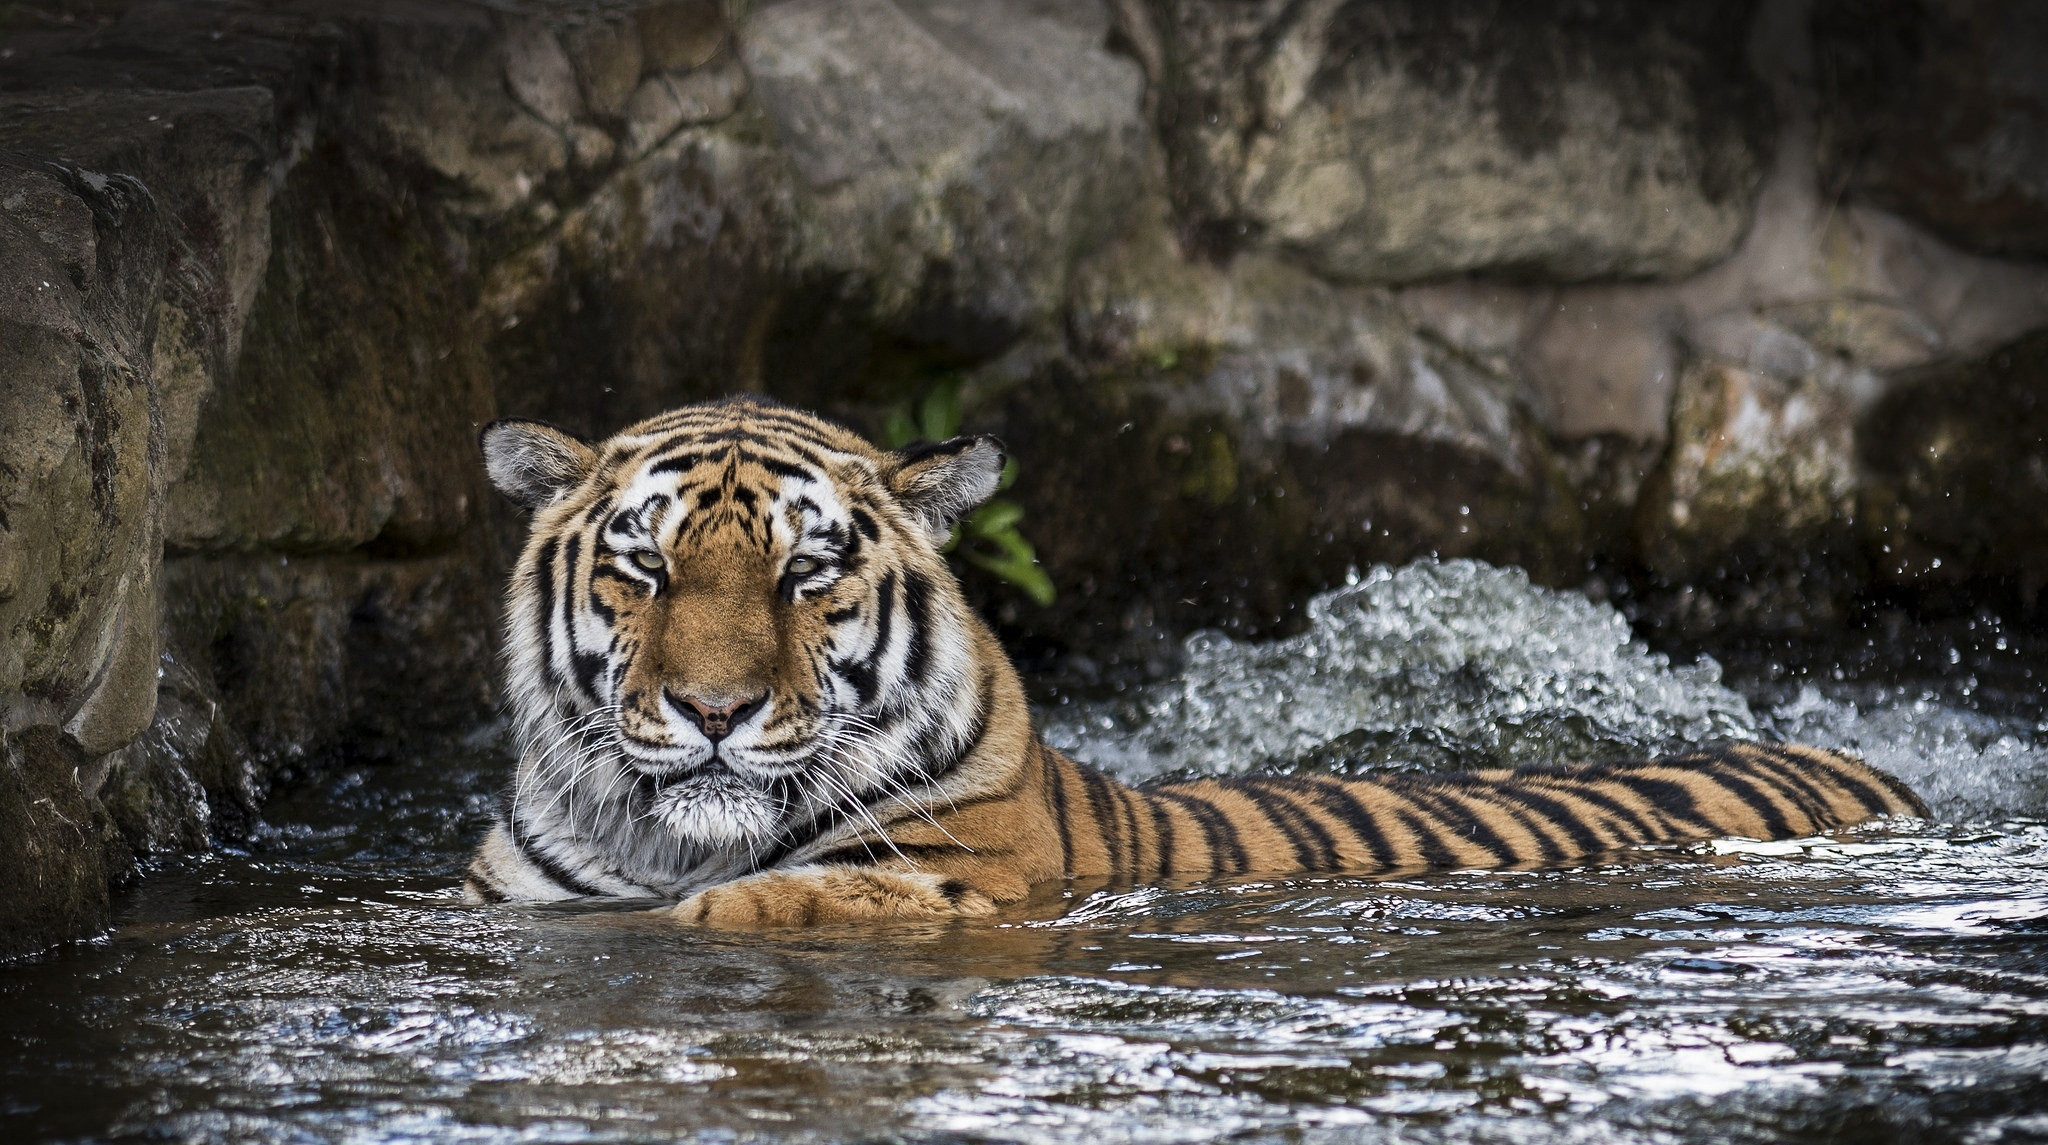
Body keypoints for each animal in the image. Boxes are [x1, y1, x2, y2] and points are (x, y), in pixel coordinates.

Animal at [468, 399, 1933, 925]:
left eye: (804, 574)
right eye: (646, 567)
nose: (713, 708)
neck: (671, 846)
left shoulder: (955, 878)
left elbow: (787, 901)